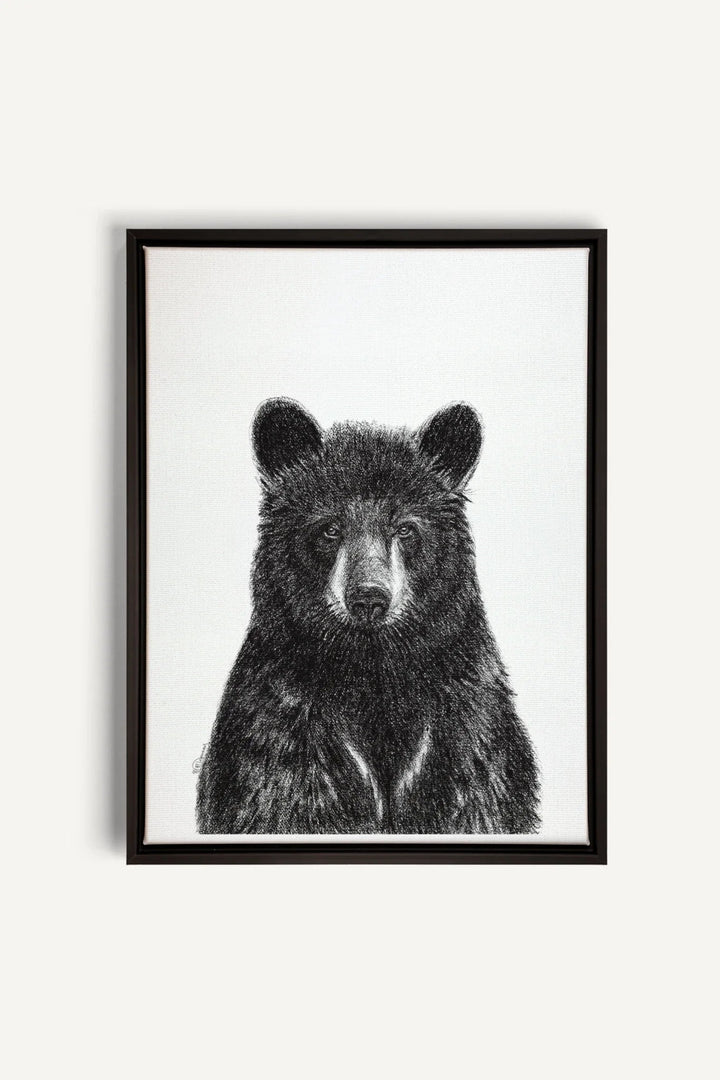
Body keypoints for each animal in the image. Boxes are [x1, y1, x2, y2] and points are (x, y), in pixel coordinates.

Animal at [196, 398, 539, 834]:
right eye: (329, 528)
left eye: (406, 529)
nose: (369, 598)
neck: (372, 671)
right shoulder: (281, 729)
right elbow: (280, 796)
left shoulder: (466, 731)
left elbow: (480, 794)